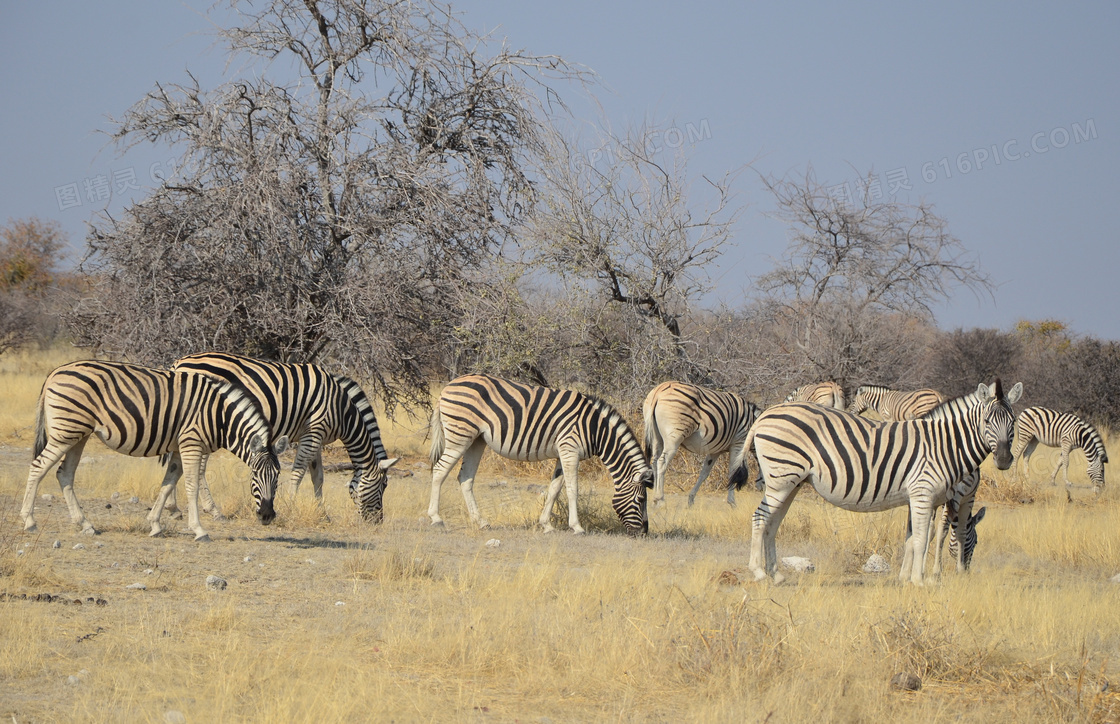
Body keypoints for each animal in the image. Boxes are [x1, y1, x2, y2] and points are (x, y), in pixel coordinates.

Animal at [20, 360, 288, 542]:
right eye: (254, 476)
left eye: (277, 478)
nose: (267, 516)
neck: (219, 416)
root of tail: (55, 371)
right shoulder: (191, 443)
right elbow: (191, 485)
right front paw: (199, 530)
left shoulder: (179, 447)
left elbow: (169, 482)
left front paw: (155, 525)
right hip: (66, 431)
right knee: (38, 467)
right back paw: (29, 521)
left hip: (79, 434)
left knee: (64, 473)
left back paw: (85, 524)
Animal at [170, 351, 398, 522]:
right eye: (384, 486)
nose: (377, 522)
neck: (342, 410)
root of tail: (178, 363)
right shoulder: (314, 431)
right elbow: (298, 472)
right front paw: (290, 505)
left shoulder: (315, 434)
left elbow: (318, 476)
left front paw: (321, 513)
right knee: (197, 468)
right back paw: (213, 510)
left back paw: (174, 509)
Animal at [427, 376, 654, 535]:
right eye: (641, 499)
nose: (644, 533)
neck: (596, 429)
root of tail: (448, 386)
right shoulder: (570, 449)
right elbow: (572, 489)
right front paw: (577, 527)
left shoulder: (563, 454)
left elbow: (554, 489)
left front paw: (546, 525)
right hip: (460, 434)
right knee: (439, 470)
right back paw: (436, 518)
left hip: (476, 439)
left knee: (465, 477)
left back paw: (481, 522)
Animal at [734, 381, 1025, 582]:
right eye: (986, 421)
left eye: (1013, 421)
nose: (1003, 459)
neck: (942, 446)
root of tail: (766, 414)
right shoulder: (924, 494)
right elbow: (924, 538)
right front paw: (921, 581)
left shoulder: (922, 499)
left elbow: (913, 538)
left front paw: (907, 579)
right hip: (781, 479)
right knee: (760, 518)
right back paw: (759, 572)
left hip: (789, 482)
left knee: (772, 523)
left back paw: (776, 575)